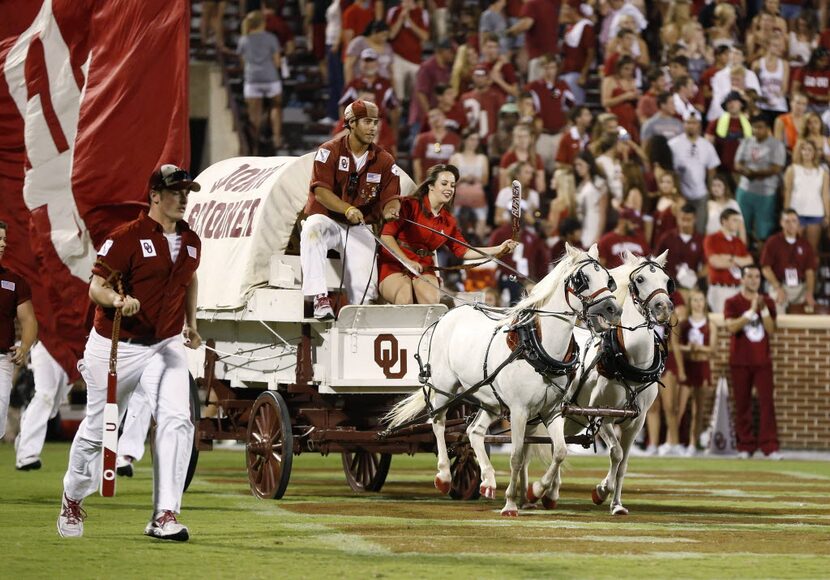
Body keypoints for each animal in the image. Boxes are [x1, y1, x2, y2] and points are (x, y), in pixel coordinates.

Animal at [386, 242, 620, 516]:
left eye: (608, 278)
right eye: (582, 279)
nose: (613, 309)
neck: (537, 346)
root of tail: (448, 314)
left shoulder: (552, 411)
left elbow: (560, 452)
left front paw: (538, 490)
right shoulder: (519, 410)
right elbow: (516, 456)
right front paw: (510, 503)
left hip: (491, 401)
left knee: (474, 431)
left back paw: (487, 480)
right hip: (444, 388)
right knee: (438, 423)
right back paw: (443, 476)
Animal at [528, 251, 680, 516]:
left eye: (666, 280)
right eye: (640, 279)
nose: (664, 307)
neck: (630, 362)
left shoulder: (637, 421)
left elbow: (624, 463)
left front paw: (616, 504)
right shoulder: (601, 415)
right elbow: (616, 453)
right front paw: (600, 491)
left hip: (570, 418)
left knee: (556, 445)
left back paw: (551, 493)